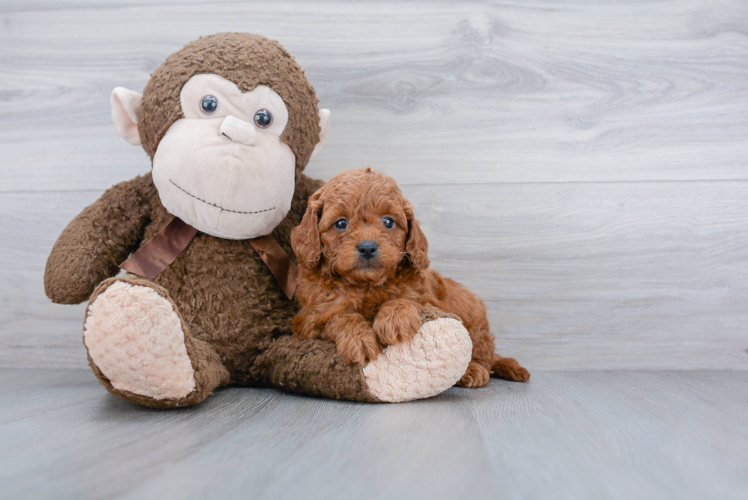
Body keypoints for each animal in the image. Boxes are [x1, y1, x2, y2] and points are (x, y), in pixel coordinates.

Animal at [290, 168, 528, 386]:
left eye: (388, 222)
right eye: (341, 223)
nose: (367, 248)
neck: (366, 285)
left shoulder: (430, 302)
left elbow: (407, 299)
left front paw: (395, 320)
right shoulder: (309, 322)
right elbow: (338, 317)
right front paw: (358, 339)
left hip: (477, 330)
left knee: (486, 358)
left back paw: (476, 370)